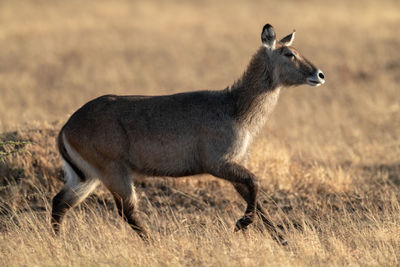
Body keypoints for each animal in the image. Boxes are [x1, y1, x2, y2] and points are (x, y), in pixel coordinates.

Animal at [50, 24, 324, 246]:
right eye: (289, 54)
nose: (320, 75)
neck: (234, 107)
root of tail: (67, 127)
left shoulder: (235, 166)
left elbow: (258, 200)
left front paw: (283, 241)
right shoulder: (219, 164)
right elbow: (255, 184)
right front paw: (242, 224)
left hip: (88, 177)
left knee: (60, 202)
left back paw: (58, 242)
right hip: (113, 172)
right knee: (127, 212)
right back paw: (155, 244)